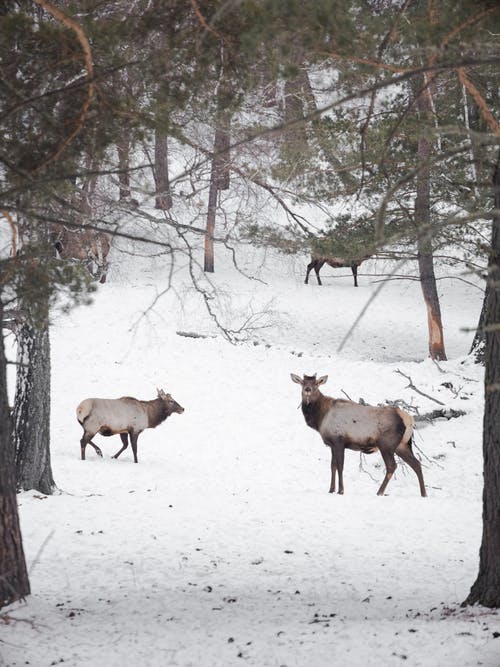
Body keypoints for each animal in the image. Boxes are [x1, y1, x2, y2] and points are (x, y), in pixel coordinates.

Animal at [290, 376, 426, 496]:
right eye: (302, 382)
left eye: (316, 384)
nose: (307, 389)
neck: (320, 418)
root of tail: (409, 420)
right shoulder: (332, 445)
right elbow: (332, 466)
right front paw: (331, 490)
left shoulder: (339, 441)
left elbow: (340, 466)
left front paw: (341, 490)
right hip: (402, 445)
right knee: (417, 464)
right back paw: (423, 494)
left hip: (386, 445)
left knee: (392, 466)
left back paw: (379, 492)